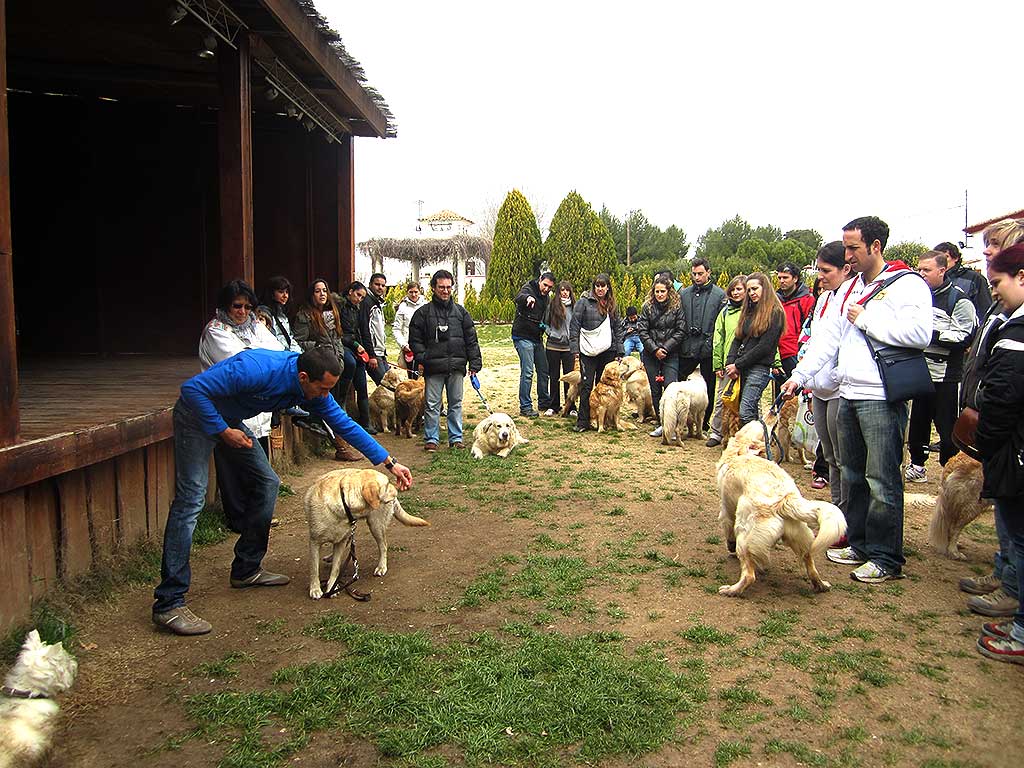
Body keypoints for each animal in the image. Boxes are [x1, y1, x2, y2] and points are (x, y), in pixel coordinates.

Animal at [305, 468, 430, 602]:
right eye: (387, 485)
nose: (396, 490)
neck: (344, 501)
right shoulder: (315, 542)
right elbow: (314, 568)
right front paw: (316, 589)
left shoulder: (341, 541)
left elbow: (335, 569)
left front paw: (331, 588)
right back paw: (330, 557)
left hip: (375, 525)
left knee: (383, 546)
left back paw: (381, 567)